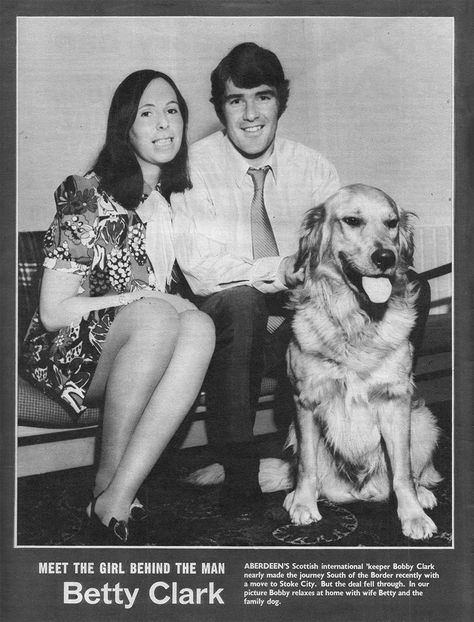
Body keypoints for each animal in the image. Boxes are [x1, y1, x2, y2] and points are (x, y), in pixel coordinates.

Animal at [282, 184, 440, 540]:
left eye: (391, 223)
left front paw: (413, 515)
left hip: (423, 420)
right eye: (352, 221)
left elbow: (403, 472)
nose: (385, 257)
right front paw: (303, 503)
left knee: (416, 472)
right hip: (293, 433)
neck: (356, 321)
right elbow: (307, 467)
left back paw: (423, 494)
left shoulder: (396, 400)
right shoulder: (305, 401)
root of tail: (361, 491)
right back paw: (295, 495)